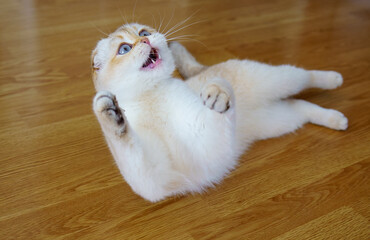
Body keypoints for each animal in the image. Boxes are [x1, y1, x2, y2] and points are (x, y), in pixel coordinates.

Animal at [91, 23, 348, 202]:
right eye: (124, 49)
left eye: (144, 31)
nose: (145, 38)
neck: (151, 95)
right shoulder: (155, 180)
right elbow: (122, 141)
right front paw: (109, 112)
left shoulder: (205, 138)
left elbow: (220, 94)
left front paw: (216, 92)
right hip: (280, 120)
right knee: (301, 104)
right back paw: (337, 119)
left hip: (280, 80)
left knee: (306, 76)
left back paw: (335, 80)